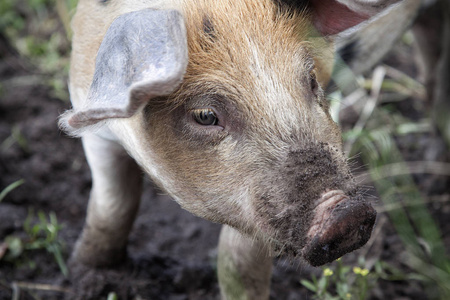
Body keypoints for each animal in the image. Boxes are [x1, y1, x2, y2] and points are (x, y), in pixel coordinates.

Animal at [55, 0, 446, 298]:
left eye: (311, 80)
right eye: (205, 115)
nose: (343, 212)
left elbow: (237, 264)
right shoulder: (94, 128)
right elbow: (113, 204)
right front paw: (84, 271)